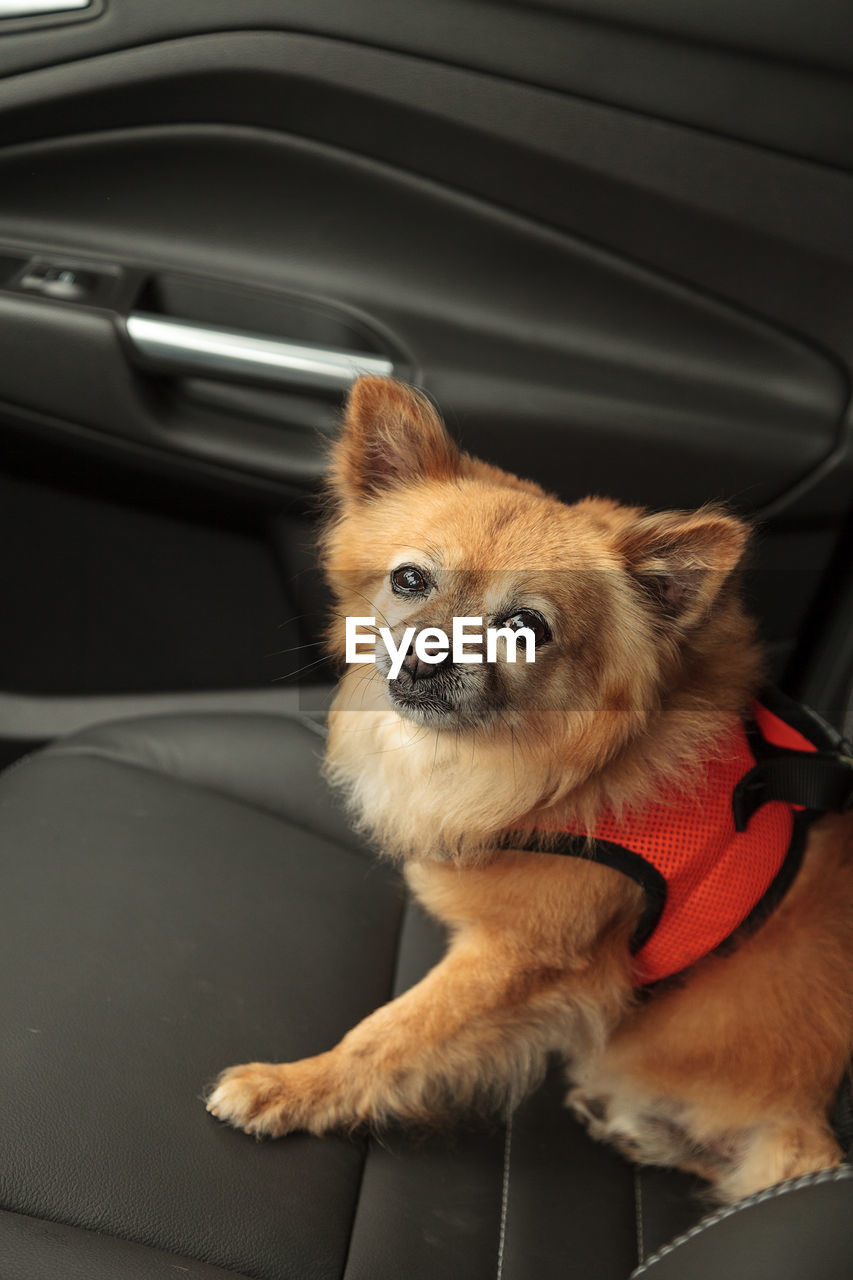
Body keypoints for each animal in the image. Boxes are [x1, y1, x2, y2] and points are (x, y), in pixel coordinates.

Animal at [206, 373, 850, 1203]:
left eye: (525, 627)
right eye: (410, 580)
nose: (424, 658)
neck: (543, 766)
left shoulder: (515, 958)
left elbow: (392, 1033)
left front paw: (296, 1087)